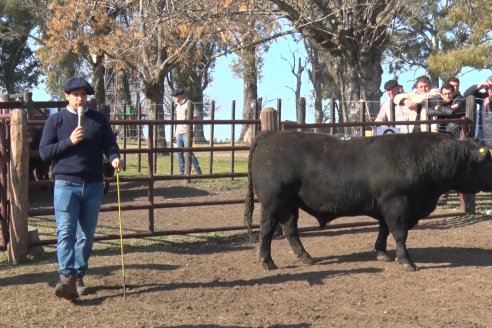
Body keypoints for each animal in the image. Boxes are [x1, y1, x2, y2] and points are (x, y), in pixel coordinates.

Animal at [244, 131, 492, 272]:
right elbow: (399, 233)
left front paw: (382, 253)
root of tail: (269, 135)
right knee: (266, 229)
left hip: (289, 203)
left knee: (290, 228)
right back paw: (267, 261)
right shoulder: (396, 202)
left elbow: (384, 230)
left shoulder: (386, 205)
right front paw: (406, 261)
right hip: (273, 201)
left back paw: (306, 257)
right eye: (488, 160)